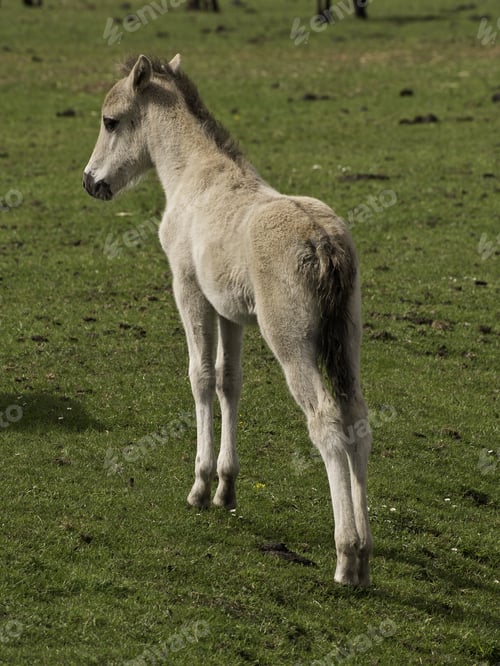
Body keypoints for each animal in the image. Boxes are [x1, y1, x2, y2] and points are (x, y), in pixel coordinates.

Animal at [83, 54, 373, 586]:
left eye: (110, 121)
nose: (91, 181)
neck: (196, 173)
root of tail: (323, 241)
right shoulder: (229, 311)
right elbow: (229, 382)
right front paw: (226, 487)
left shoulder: (189, 289)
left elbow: (199, 377)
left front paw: (199, 487)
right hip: (347, 340)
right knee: (357, 419)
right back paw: (364, 559)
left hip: (291, 344)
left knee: (326, 422)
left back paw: (347, 557)